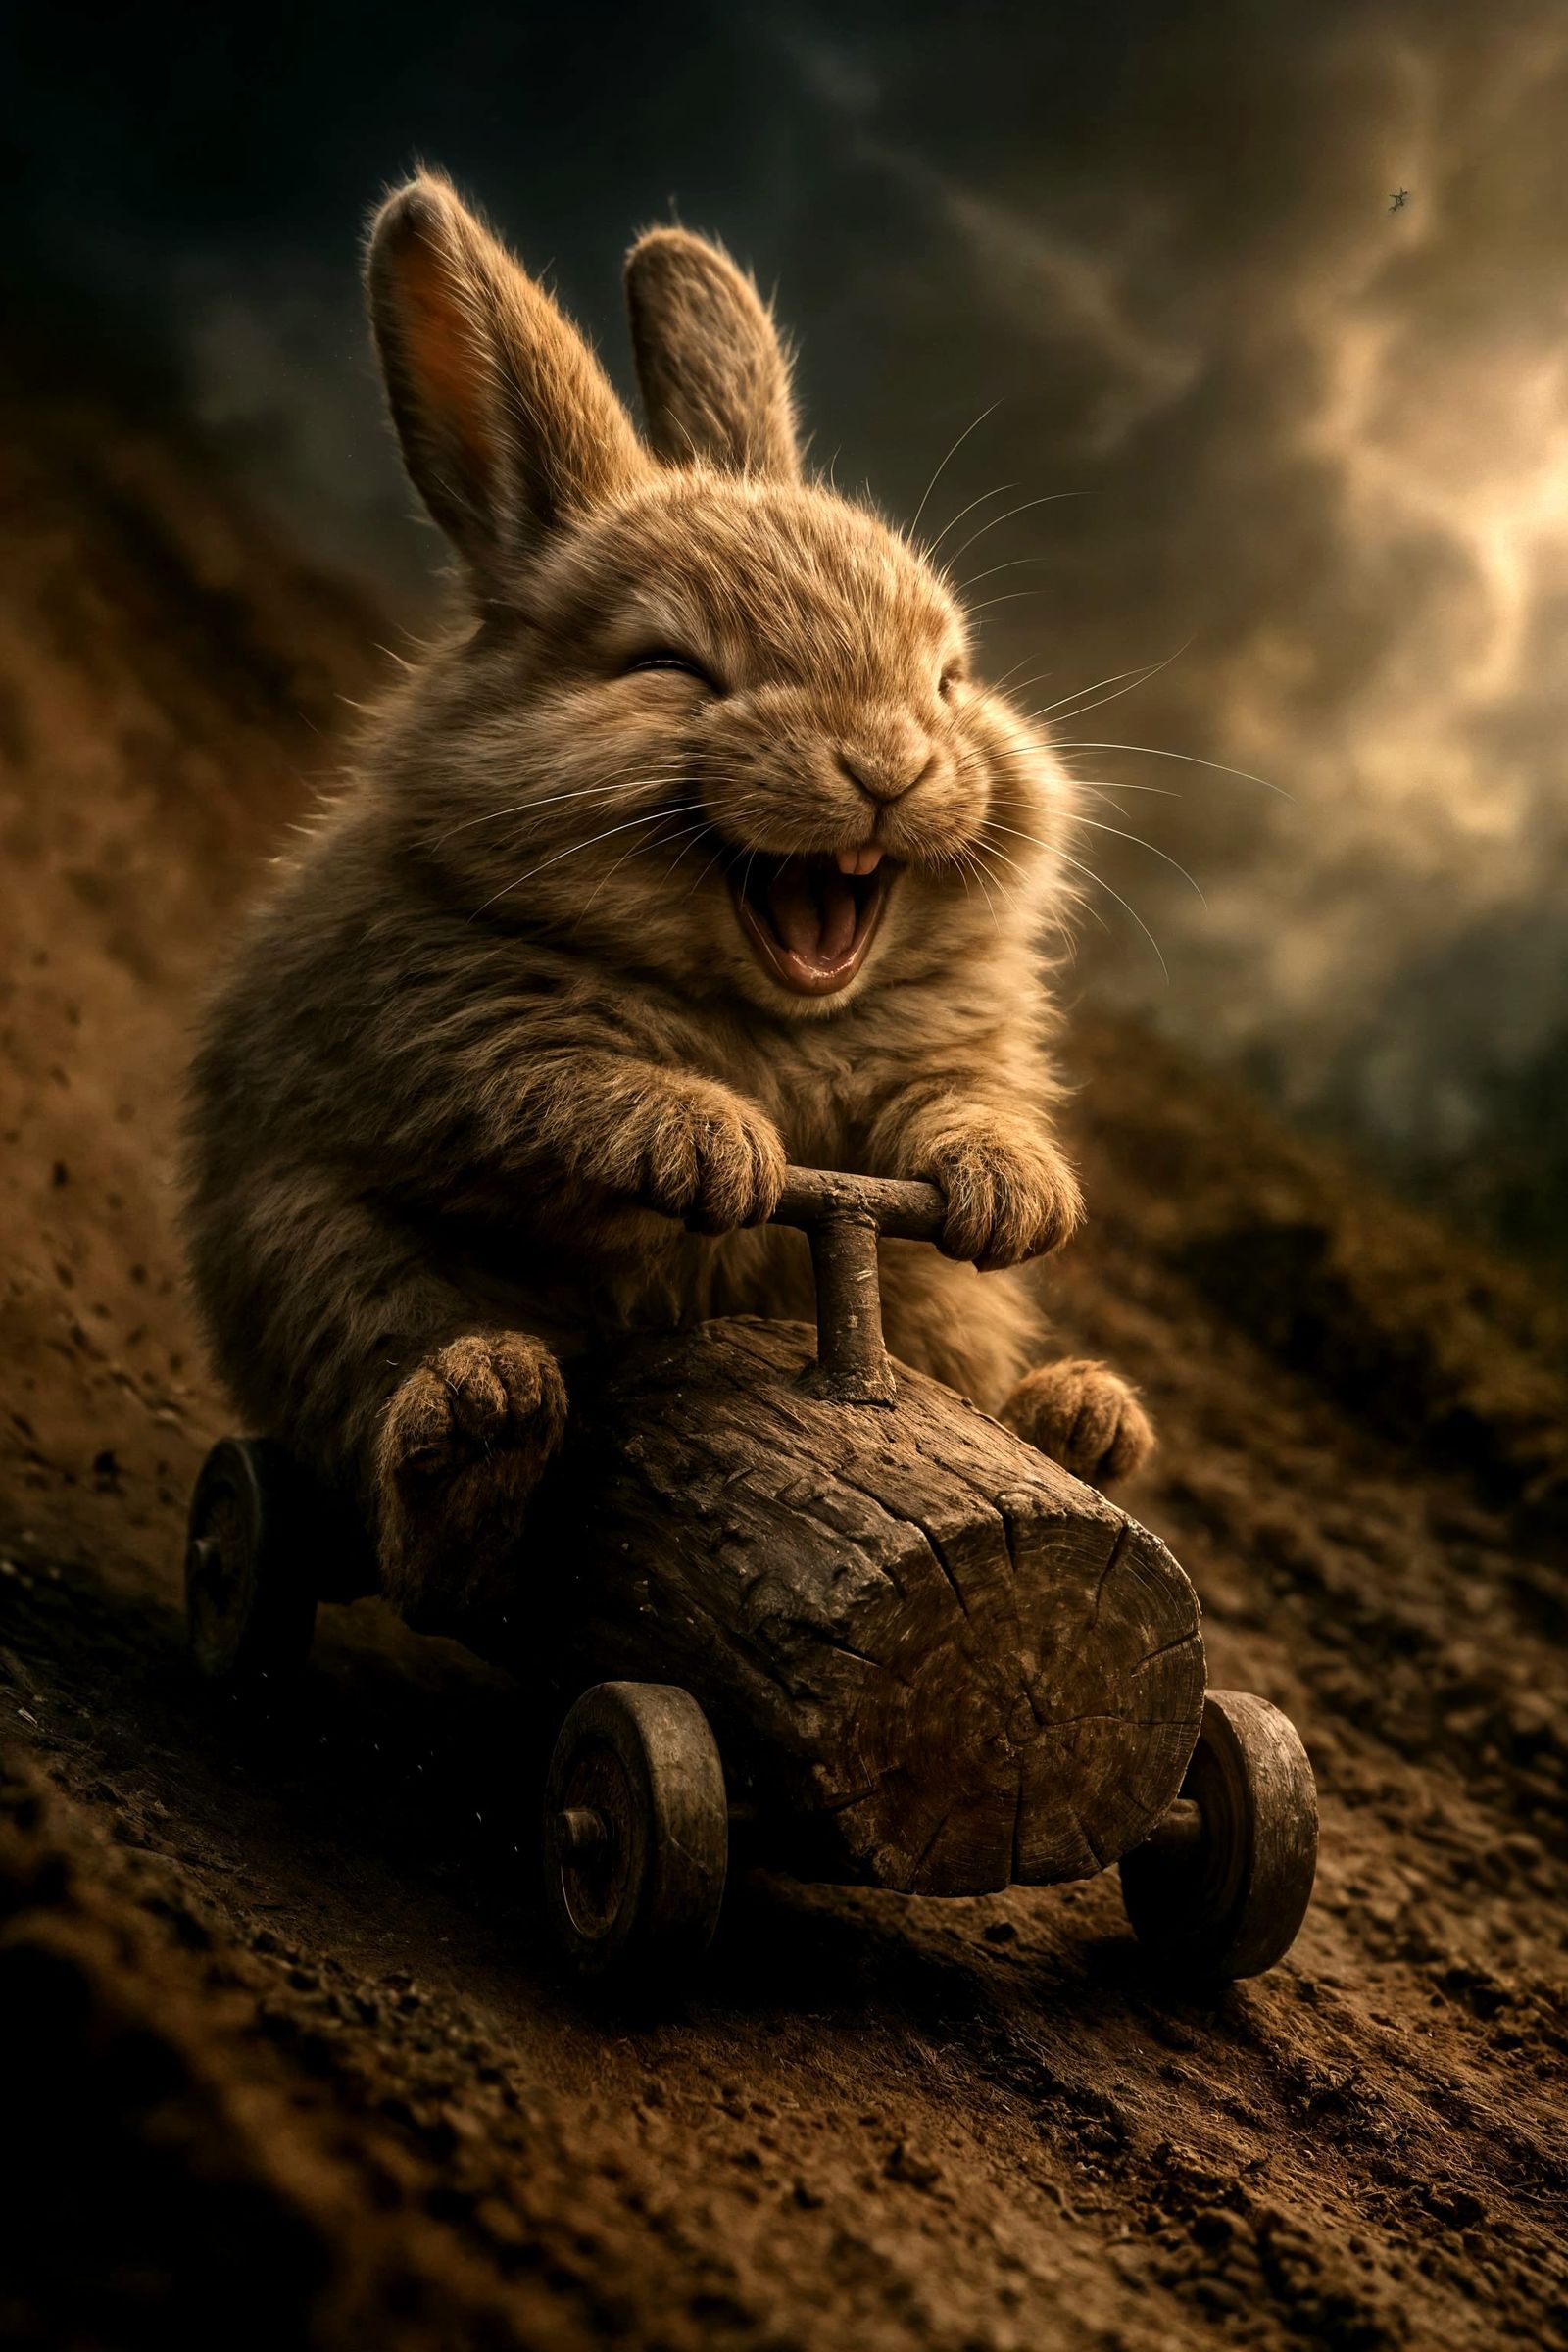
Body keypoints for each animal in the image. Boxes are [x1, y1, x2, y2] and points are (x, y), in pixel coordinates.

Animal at [182, 172, 1153, 1630]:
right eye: (671, 667)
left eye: (950, 679)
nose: (889, 768)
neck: (774, 1020)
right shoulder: (441, 1015)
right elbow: (562, 1078)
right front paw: (714, 1149)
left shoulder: (952, 1057)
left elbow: (960, 1106)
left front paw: (1013, 1193)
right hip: (321, 1266)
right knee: (407, 1505)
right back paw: (474, 1436)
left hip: (946, 1317)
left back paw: (1081, 1424)